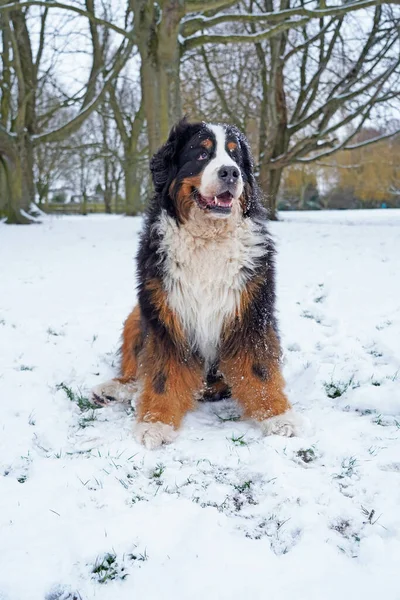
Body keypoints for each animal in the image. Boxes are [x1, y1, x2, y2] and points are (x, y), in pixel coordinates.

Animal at [91, 119, 304, 448]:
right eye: (201, 154)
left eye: (235, 155)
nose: (230, 172)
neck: (208, 238)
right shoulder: (168, 316)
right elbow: (161, 376)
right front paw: (156, 423)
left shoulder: (250, 312)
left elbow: (259, 369)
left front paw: (277, 417)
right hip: (136, 315)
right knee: (137, 371)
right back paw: (117, 389)